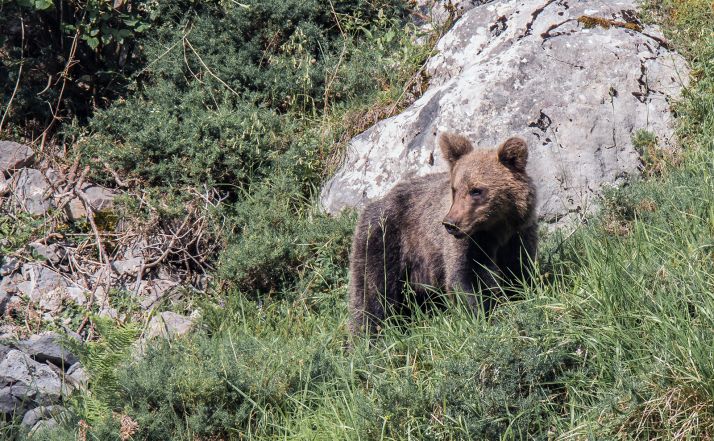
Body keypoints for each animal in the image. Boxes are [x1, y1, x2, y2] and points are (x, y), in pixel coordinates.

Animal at [348, 133, 537, 335]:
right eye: (455, 189)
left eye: (476, 190)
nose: (450, 224)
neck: (495, 230)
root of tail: (374, 204)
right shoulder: (466, 243)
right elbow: (463, 276)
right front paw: (483, 315)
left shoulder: (518, 235)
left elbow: (519, 271)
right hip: (384, 241)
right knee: (372, 292)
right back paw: (368, 335)